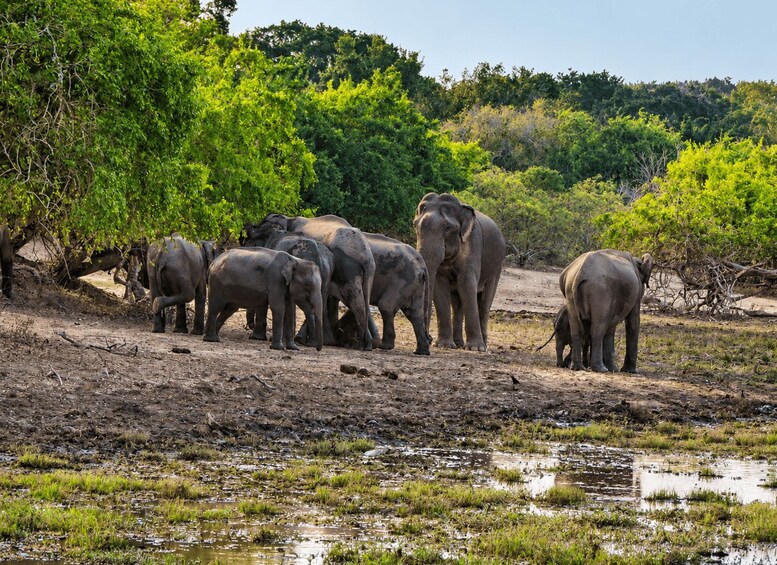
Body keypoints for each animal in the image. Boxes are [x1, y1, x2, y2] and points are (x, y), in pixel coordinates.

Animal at [414, 193, 505, 352]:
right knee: (457, 302)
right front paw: (443, 345)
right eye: (415, 225)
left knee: (485, 300)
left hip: (497, 266)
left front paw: (475, 348)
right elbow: (440, 288)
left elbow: (466, 285)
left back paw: (483, 346)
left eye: (447, 227)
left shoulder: (473, 245)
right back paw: (458, 344)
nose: (429, 339)